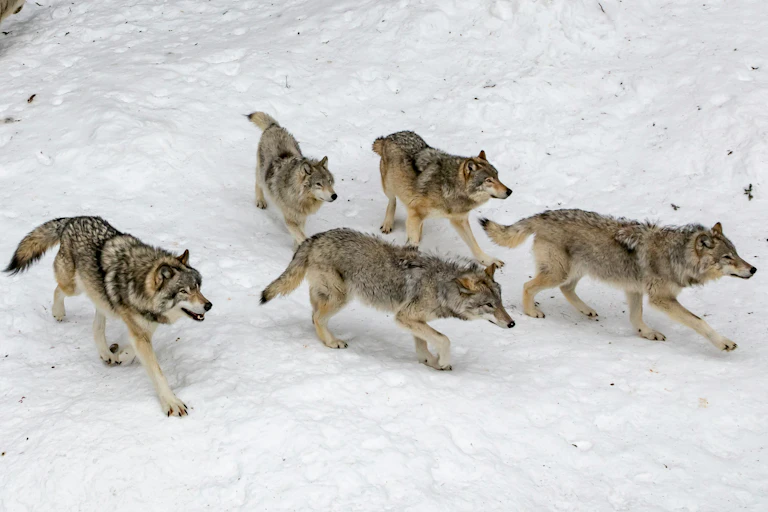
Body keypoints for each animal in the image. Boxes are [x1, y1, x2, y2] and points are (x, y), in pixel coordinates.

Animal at [5, 217, 213, 416]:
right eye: (184, 291)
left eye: (198, 287)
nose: (208, 305)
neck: (140, 285)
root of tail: (72, 220)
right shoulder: (140, 331)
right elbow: (157, 372)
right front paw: (171, 403)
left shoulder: (145, 327)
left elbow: (133, 349)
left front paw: (123, 355)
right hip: (74, 287)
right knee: (58, 290)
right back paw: (58, 313)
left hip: (100, 298)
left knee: (97, 325)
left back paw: (106, 353)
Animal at [247, 112, 337, 246]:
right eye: (319, 184)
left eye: (330, 182)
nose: (334, 196)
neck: (299, 197)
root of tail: (274, 127)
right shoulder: (290, 220)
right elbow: (302, 236)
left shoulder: (301, 218)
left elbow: (300, 235)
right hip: (261, 172)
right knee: (258, 183)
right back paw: (260, 201)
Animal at [260, 228, 514, 370]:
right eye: (489, 305)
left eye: (501, 303)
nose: (512, 323)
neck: (441, 286)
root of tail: (314, 237)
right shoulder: (404, 317)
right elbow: (444, 339)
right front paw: (441, 361)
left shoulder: (413, 320)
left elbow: (423, 344)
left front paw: (430, 362)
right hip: (341, 298)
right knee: (316, 317)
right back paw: (332, 342)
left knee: (313, 314)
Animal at [372, 131, 511, 267]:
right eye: (489, 180)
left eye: (497, 176)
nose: (509, 191)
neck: (451, 188)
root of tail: (389, 136)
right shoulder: (416, 213)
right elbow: (413, 241)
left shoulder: (459, 220)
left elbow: (474, 245)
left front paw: (489, 261)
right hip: (389, 187)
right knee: (392, 201)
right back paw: (388, 224)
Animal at [480, 209, 757, 351]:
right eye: (728, 257)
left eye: (737, 253)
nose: (753, 269)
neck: (676, 256)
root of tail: (544, 214)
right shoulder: (661, 299)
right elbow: (699, 322)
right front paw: (724, 343)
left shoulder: (634, 289)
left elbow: (636, 318)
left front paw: (646, 333)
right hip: (559, 272)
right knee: (529, 286)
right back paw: (532, 312)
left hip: (576, 271)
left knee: (566, 289)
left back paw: (587, 310)